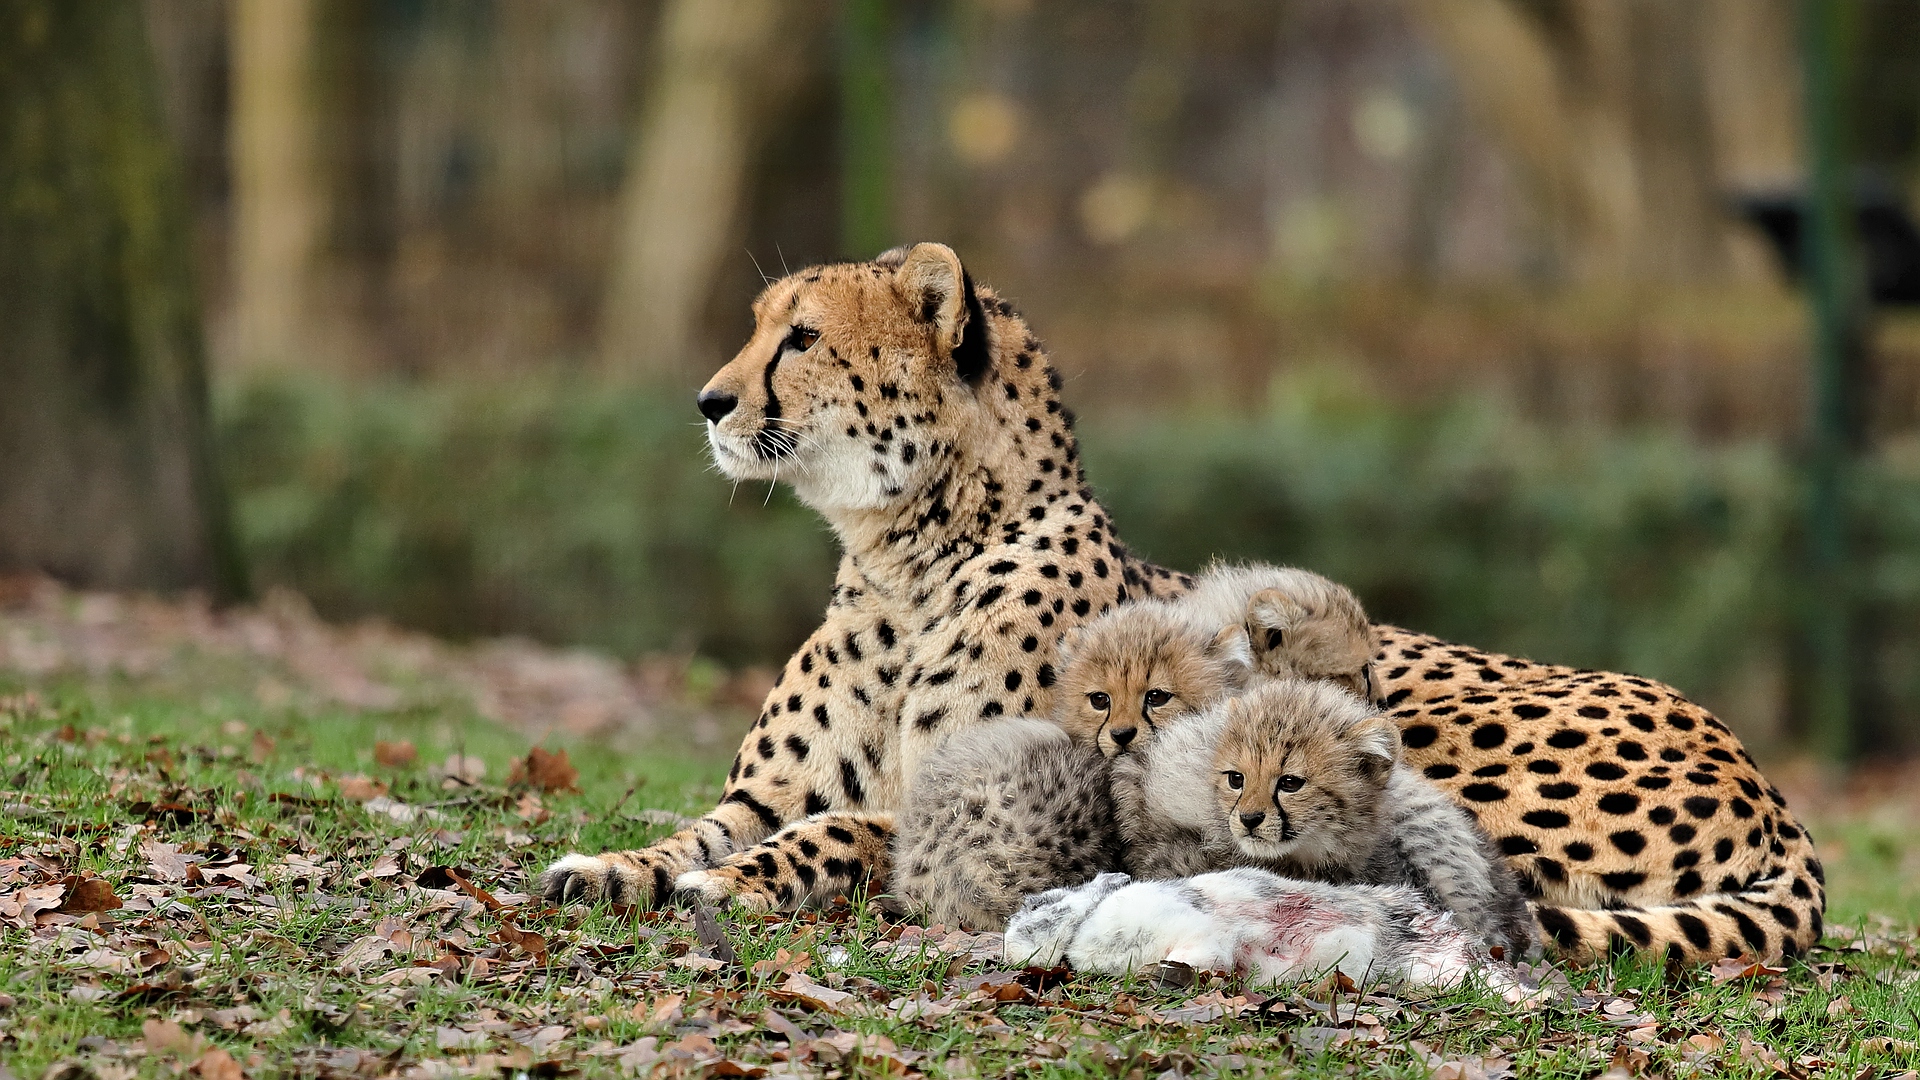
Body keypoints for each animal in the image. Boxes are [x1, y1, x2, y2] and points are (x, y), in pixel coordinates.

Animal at [533, 245, 1820, 968]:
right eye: (757, 329)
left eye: (798, 338)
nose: (707, 401)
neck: (906, 555)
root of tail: (1763, 775)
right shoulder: (762, 793)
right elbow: (703, 828)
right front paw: (612, 865)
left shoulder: (1015, 799)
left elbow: (839, 831)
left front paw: (733, 885)